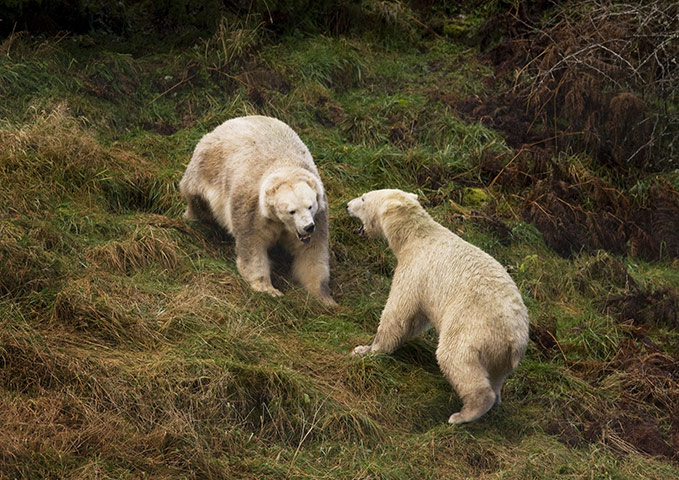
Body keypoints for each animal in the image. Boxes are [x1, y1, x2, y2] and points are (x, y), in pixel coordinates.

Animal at [181, 114, 338, 306]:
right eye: (291, 211)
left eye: (310, 205)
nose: (308, 227)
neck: (284, 165)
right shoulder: (253, 210)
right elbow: (252, 247)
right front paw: (268, 289)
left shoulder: (319, 216)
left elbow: (311, 253)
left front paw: (325, 298)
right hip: (205, 170)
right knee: (197, 200)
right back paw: (191, 217)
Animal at [346, 189, 532, 422]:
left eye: (363, 198)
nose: (347, 205)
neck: (415, 236)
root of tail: (515, 340)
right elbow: (415, 320)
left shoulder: (415, 269)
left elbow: (398, 313)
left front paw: (366, 350)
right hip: (501, 356)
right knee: (495, 376)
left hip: (474, 329)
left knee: (454, 357)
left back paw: (463, 414)